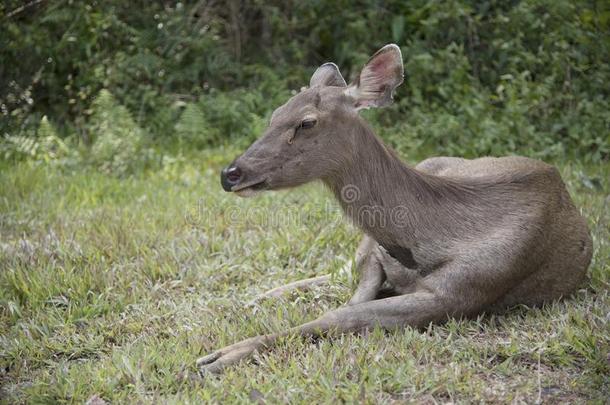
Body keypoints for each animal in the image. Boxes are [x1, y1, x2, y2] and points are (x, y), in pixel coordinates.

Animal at [198, 43, 588, 372]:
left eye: (307, 122)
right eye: (276, 113)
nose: (230, 174)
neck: (426, 242)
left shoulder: (465, 289)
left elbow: (343, 315)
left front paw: (221, 355)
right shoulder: (377, 254)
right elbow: (353, 297)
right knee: (336, 269)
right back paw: (255, 297)